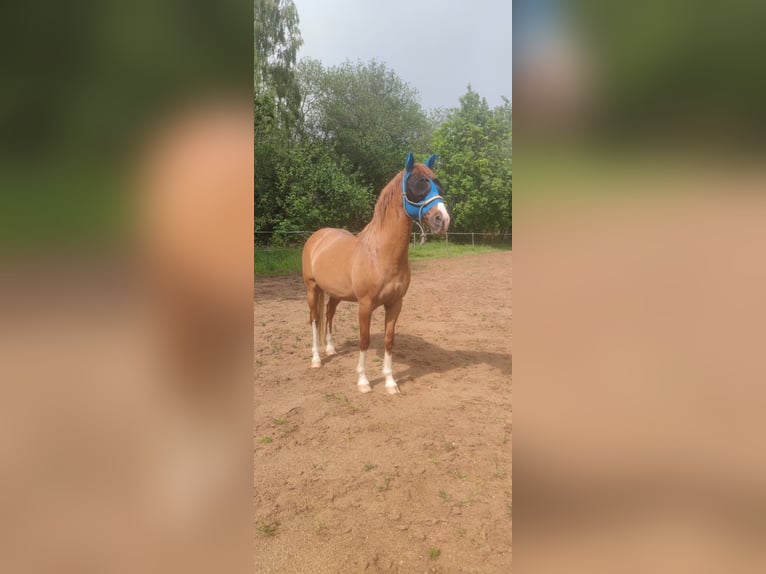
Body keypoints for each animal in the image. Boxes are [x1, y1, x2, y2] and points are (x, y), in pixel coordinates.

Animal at [301, 152, 451, 394]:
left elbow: (389, 340)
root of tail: (318, 236)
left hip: (335, 293)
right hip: (312, 288)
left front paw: (390, 383)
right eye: (417, 185)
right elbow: (365, 340)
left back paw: (331, 349)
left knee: (329, 313)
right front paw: (363, 382)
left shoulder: (395, 304)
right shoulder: (365, 305)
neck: (380, 253)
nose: (443, 220)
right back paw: (316, 359)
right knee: (315, 319)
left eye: (439, 185)